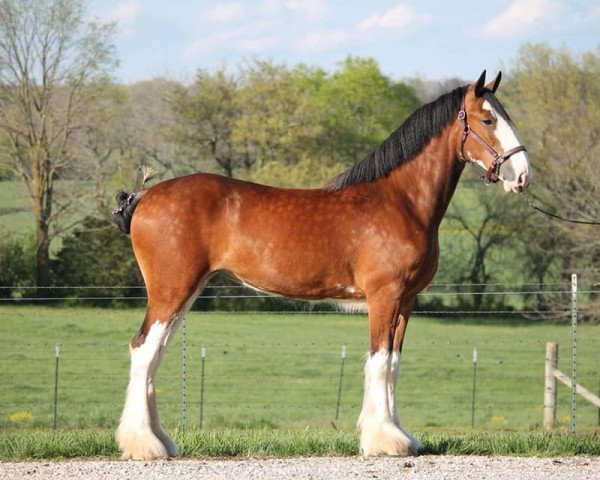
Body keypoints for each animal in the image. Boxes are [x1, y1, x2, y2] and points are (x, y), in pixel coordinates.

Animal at [112, 69, 528, 460]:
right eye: (488, 119)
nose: (523, 175)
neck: (401, 201)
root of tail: (145, 196)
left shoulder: (406, 300)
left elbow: (393, 364)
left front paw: (401, 436)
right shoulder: (384, 297)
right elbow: (379, 362)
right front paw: (384, 441)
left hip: (183, 293)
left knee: (154, 353)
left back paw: (161, 441)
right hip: (171, 291)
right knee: (144, 350)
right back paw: (145, 445)